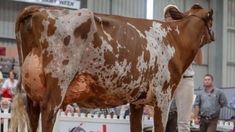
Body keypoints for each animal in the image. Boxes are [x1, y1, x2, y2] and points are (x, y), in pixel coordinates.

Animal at [10, 3, 213, 132]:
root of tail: (40, 9)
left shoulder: (137, 101)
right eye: (211, 18)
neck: (173, 39)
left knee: (33, 116)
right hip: (57, 85)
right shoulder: (163, 96)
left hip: (33, 92)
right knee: (48, 114)